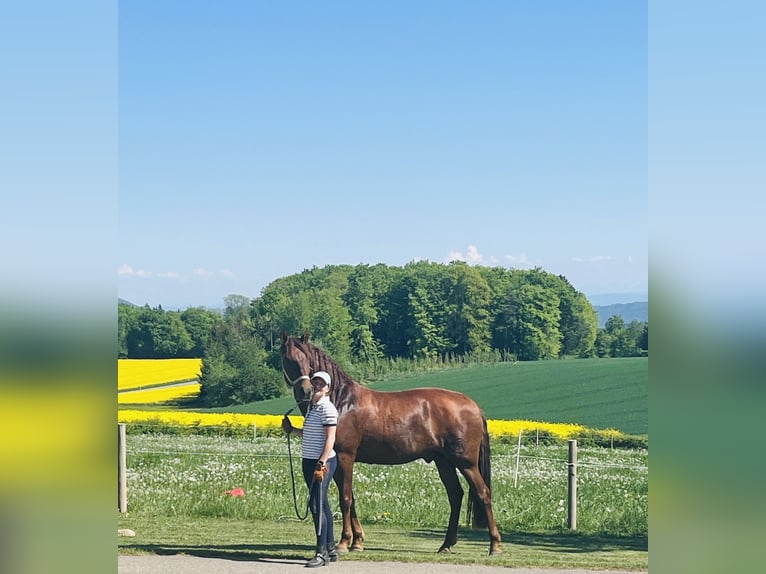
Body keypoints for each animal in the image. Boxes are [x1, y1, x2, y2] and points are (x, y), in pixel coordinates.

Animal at [280, 331, 502, 556]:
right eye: (287, 359)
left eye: (307, 360)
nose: (305, 390)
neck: (341, 402)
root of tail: (473, 406)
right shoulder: (335, 462)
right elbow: (352, 499)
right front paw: (357, 541)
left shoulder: (345, 457)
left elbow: (345, 499)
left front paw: (344, 542)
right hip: (444, 462)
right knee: (455, 495)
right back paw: (446, 544)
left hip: (466, 463)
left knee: (483, 494)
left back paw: (494, 545)